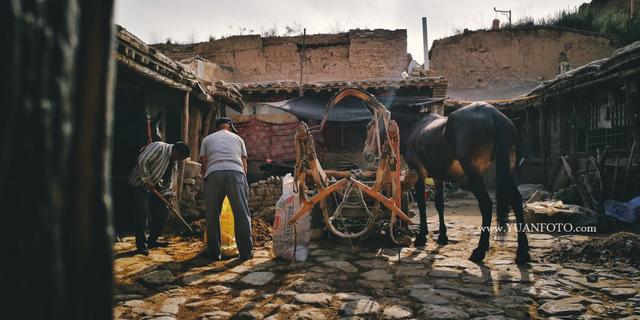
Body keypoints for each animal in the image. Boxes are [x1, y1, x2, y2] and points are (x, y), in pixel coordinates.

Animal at [328, 89, 532, 264]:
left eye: (369, 126)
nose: (367, 154)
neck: (413, 127)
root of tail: (493, 115)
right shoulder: (438, 176)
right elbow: (440, 204)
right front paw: (442, 236)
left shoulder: (419, 173)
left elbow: (422, 204)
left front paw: (421, 237)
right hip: (506, 170)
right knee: (516, 200)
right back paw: (522, 253)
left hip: (474, 173)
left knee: (487, 205)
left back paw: (480, 251)